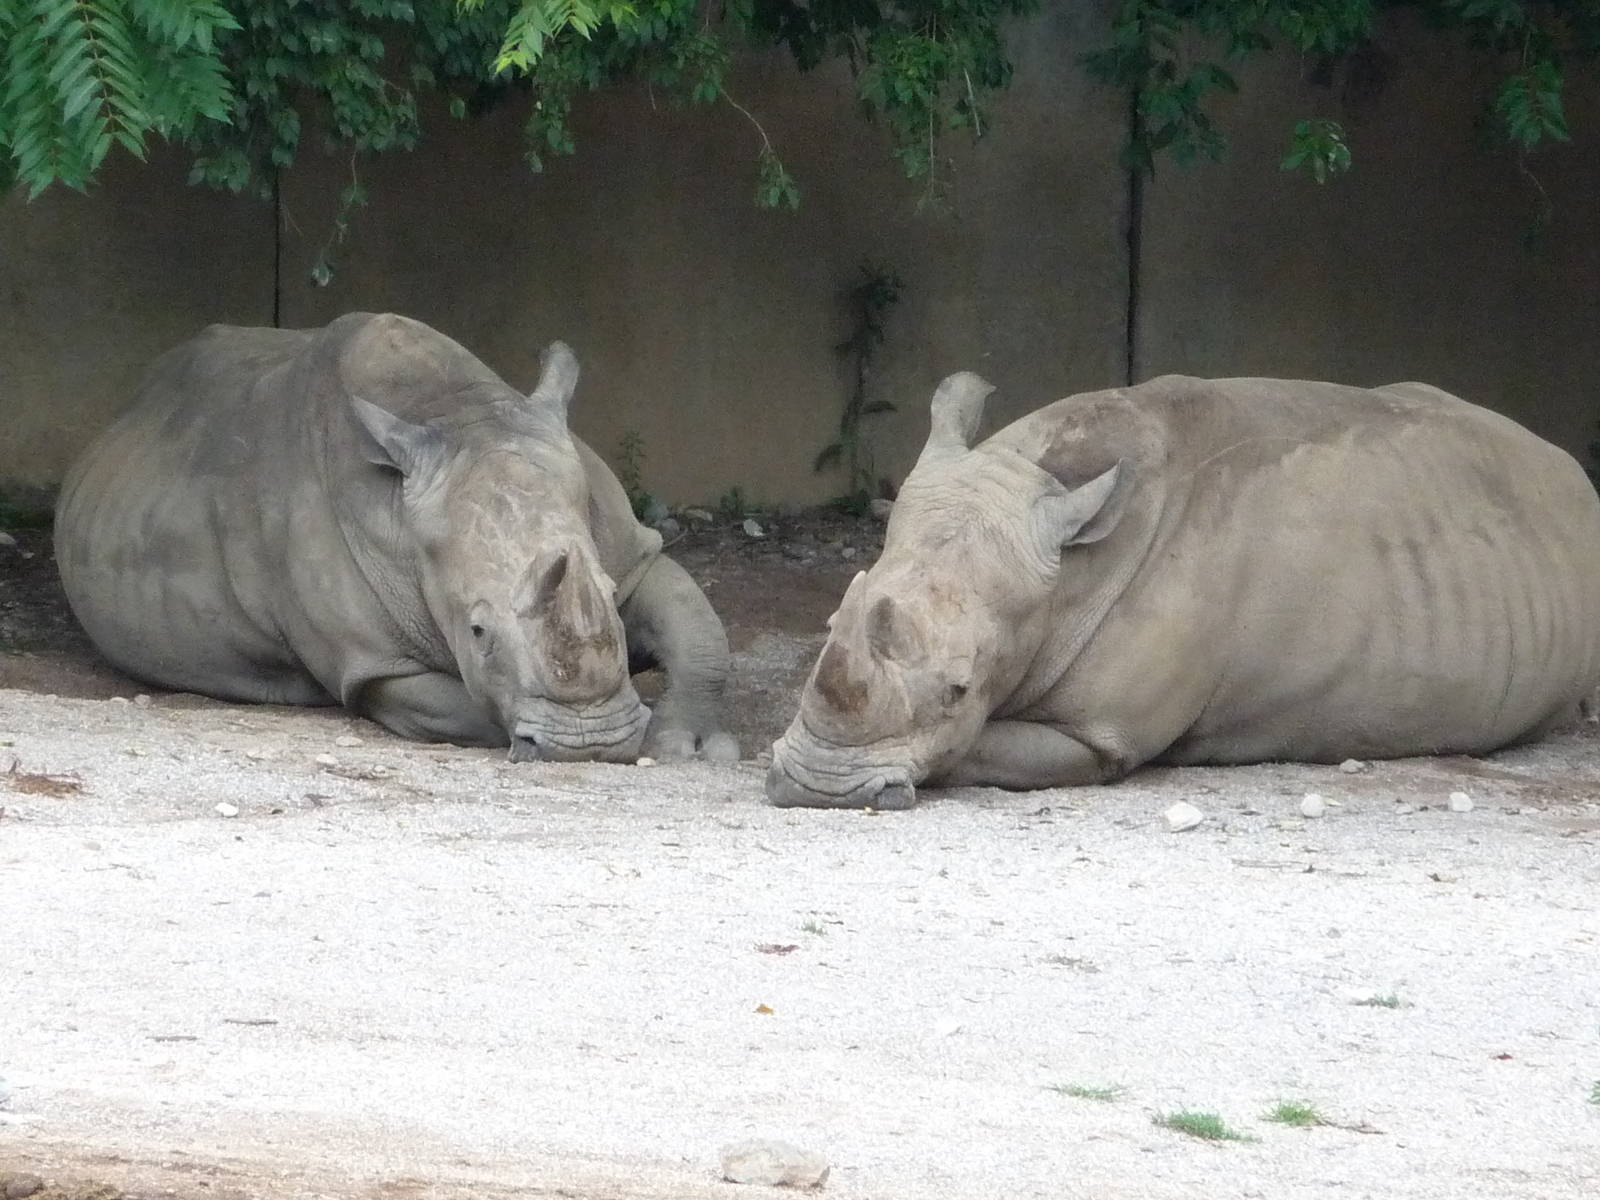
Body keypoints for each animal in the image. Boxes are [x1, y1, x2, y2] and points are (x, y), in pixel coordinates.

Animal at [55, 312, 738, 764]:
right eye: (477, 632)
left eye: (604, 588)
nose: (593, 745)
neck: (456, 413)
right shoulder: (374, 662)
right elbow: (470, 705)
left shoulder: (626, 545)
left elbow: (696, 624)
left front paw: (684, 745)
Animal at [767, 372, 1600, 807]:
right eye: (833, 621)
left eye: (959, 689)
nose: (816, 788)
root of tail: (1567, 467)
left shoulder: (1101, 734)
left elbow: (970, 746)